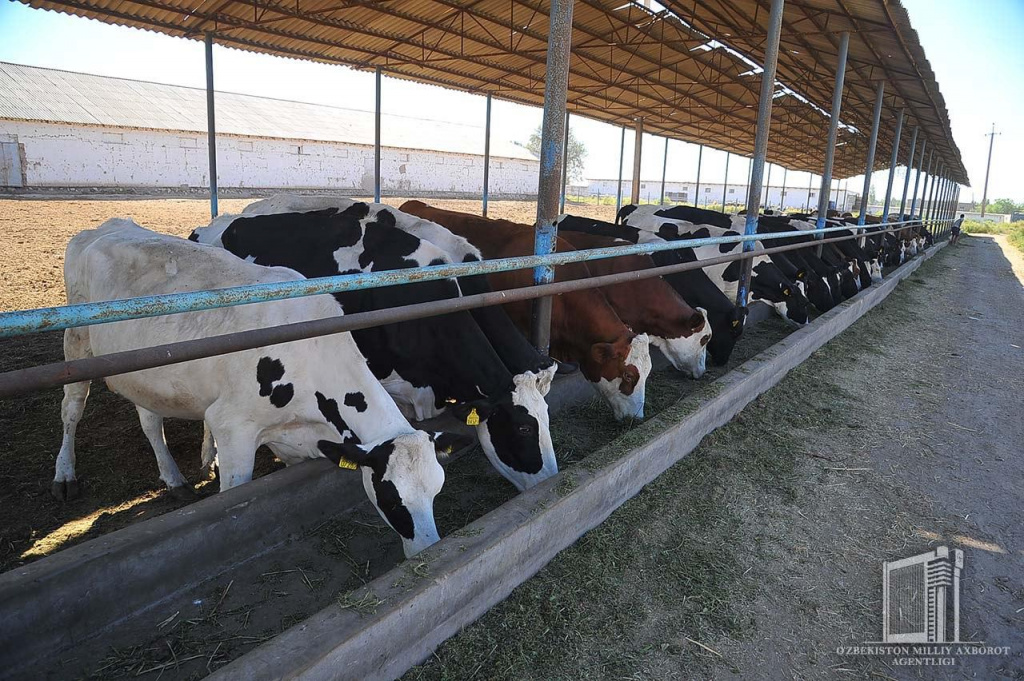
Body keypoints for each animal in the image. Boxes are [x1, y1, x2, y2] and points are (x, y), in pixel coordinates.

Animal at [57, 220, 448, 557]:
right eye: (392, 499)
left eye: (437, 491)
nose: (428, 549)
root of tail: (106, 226)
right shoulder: (233, 427)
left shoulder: (293, 440)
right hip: (76, 344)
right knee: (73, 407)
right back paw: (65, 475)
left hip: (143, 373)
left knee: (150, 420)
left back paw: (173, 478)